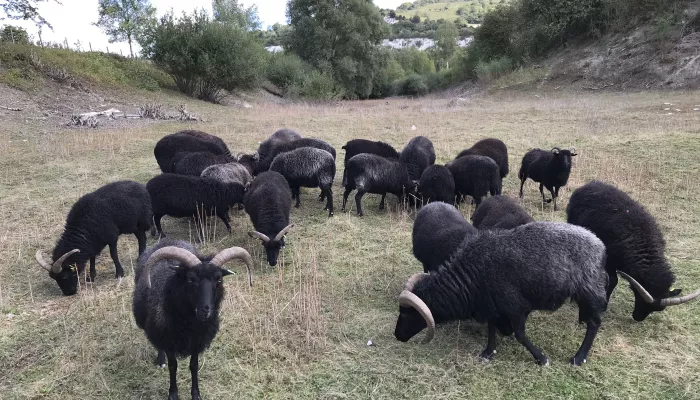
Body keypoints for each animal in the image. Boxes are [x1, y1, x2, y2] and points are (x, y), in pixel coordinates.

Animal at [133, 239, 253, 400]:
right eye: (190, 279)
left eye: (219, 280)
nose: (205, 310)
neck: (191, 324)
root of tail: (167, 240)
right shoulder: (168, 338)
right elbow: (173, 366)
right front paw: (173, 393)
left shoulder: (198, 340)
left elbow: (194, 366)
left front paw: (196, 394)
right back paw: (160, 360)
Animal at [396, 222, 608, 366]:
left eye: (406, 314)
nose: (397, 335)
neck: (471, 276)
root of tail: (599, 245)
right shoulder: (491, 304)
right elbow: (492, 328)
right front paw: (489, 352)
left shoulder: (515, 306)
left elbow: (520, 334)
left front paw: (541, 359)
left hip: (588, 290)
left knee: (594, 323)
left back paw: (579, 358)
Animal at [568, 181, 700, 322]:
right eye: (640, 298)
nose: (637, 318)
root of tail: (592, 183)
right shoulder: (610, 259)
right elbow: (613, 280)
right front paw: (603, 306)